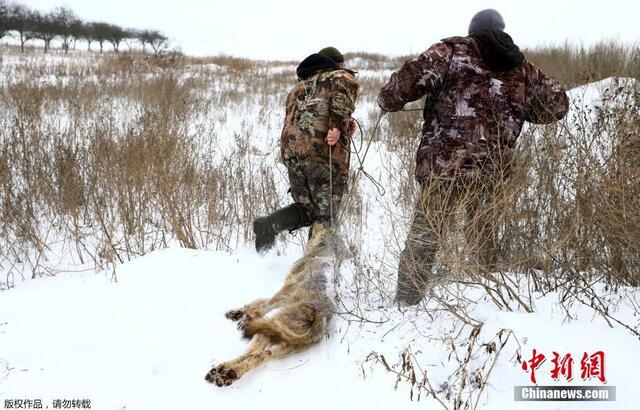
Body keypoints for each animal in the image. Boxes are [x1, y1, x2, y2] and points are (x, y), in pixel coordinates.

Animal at [208, 223, 342, 386]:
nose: (320, 220)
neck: (323, 252)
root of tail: (319, 316)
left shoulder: (284, 292)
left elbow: (262, 305)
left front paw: (243, 318)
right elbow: (259, 300)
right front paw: (237, 313)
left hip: (269, 327)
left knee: (251, 352)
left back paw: (225, 371)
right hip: (284, 344)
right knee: (261, 355)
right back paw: (227, 373)